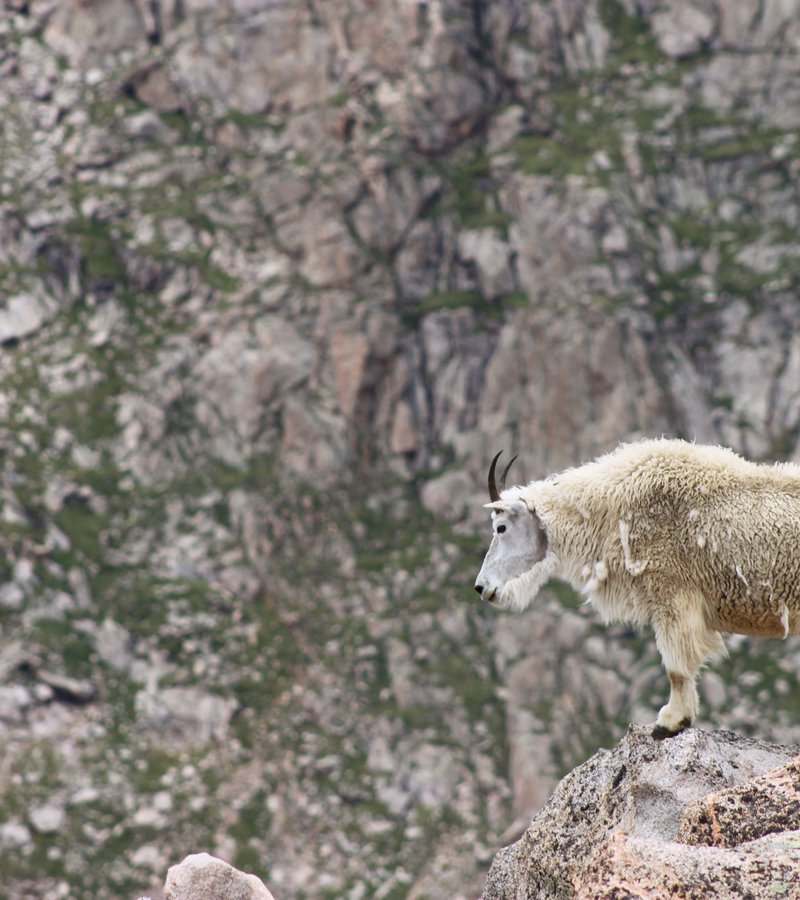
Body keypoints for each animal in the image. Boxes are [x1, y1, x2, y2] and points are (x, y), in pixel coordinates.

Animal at [476, 438, 800, 740]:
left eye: (501, 528)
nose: (481, 587)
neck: (612, 508)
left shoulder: (671, 593)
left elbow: (676, 667)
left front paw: (670, 722)